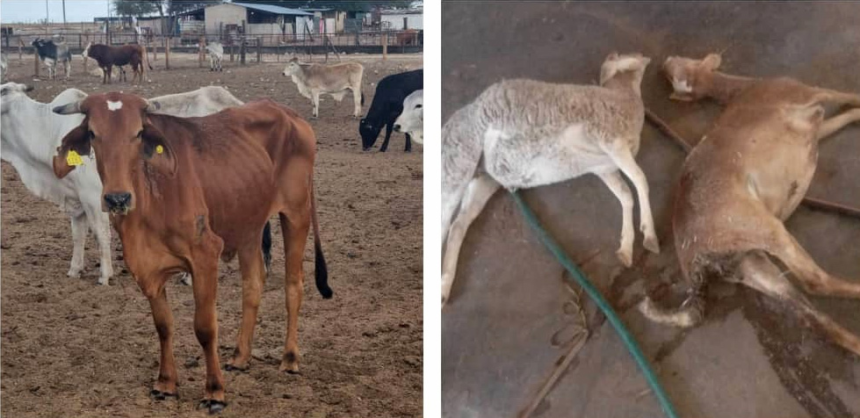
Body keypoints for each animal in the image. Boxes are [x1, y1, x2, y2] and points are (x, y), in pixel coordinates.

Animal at [51, 90, 332, 414]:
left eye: (138, 133)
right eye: (94, 133)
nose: (117, 198)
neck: (151, 195)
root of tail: (290, 114)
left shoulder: (205, 255)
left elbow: (205, 328)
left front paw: (215, 391)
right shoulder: (146, 267)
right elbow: (163, 326)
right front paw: (165, 383)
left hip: (296, 214)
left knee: (293, 285)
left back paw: (289, 358)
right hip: (248, 223)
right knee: (253, 285)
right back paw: (240, 357)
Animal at [444, 54, 660, 306]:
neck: (625, 98)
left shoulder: (605, 167)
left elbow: (625, 196)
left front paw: (626, 248)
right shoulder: (610, 139)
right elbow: (640, 179)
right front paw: (650, 235)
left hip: (482, 179)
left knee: (458, 224)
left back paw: (443, 288)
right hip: (458, 161)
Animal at [640, 54, 860, 358]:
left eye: (675, 73)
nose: (664, 62)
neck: (735, 88)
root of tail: (696, 266)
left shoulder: (818, 126)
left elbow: (845, 116)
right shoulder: (808, 93)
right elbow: (847, 95)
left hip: (750, 265)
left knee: (815, 319)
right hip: (762, 227)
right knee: (814, 280)